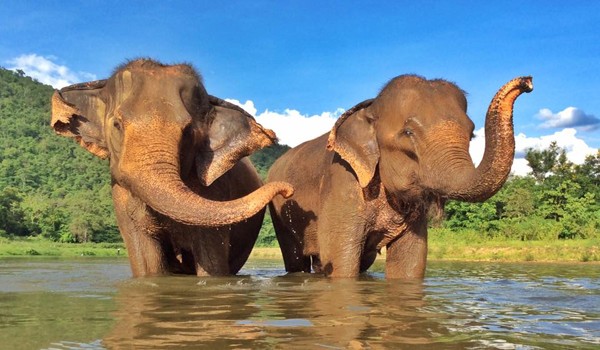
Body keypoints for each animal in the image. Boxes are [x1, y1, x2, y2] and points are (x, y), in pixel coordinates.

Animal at [52, 58, 292, 278]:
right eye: (116, 125)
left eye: (189, 131)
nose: (288, 190)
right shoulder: (121, 198)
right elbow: (148, 265)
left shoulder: (217, 188)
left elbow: (212, 264)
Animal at [270, 74, 532, 278]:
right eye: (407, 133)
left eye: (471, 134)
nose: (528, 82)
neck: (370, 109)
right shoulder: (342, 179)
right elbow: (340, 259)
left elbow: (410, 259)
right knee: (297, 259)